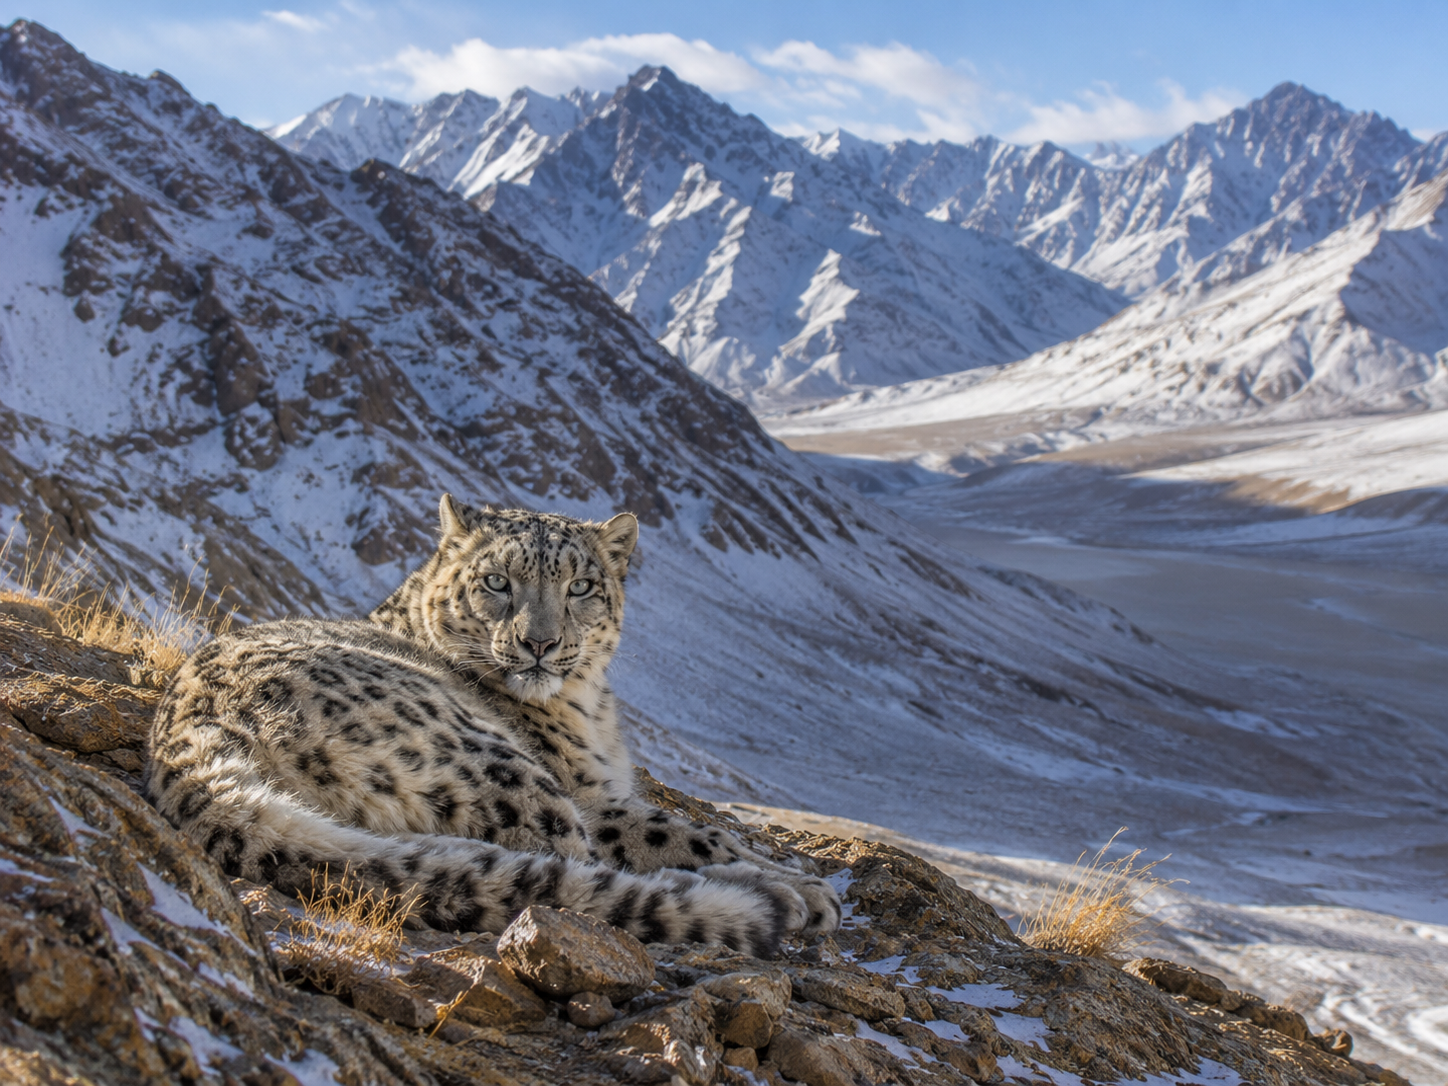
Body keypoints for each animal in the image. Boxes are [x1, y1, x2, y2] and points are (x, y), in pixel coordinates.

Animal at [145, 495, 841, 957]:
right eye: (497, 581)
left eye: (582, 586)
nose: (539, 643)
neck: (587, 707)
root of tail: (190, 742)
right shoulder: (592, 794)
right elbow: (692, 833)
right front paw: (801, 879)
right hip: (499, 766)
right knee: (577, 864)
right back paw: (780, 895)